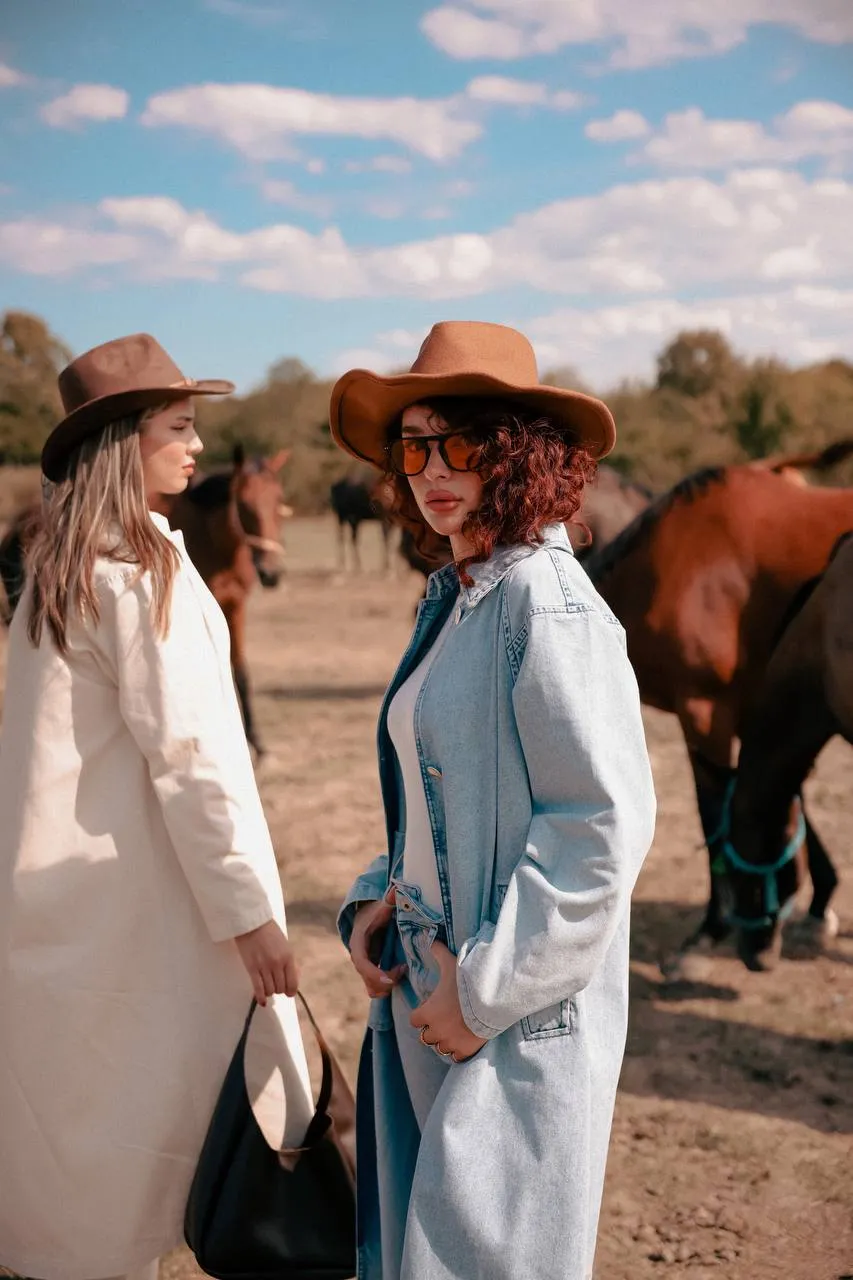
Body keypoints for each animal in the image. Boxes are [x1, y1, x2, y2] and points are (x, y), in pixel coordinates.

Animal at [0, 448, 289, 757]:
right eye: (243, 503)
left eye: (278, 500)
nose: (271, 573)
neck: (211, 539)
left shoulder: (235, 605)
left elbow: (241, 673)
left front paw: (257, 743)